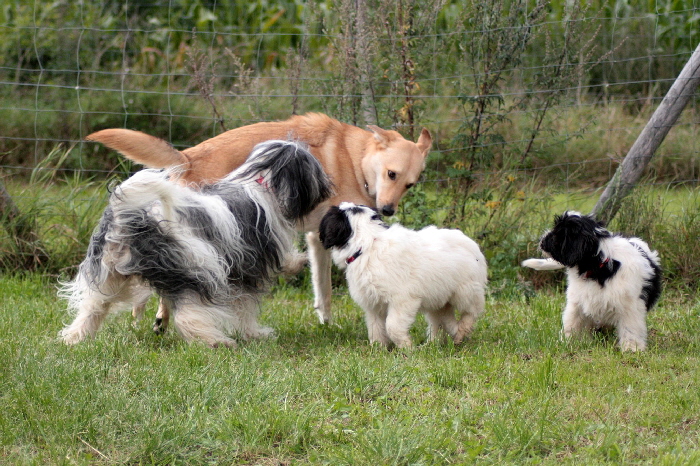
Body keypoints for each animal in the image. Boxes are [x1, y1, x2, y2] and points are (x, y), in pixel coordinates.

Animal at [60, 140, 334, 348]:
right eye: (314, 167)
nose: (329, 183)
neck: (260, 183)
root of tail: (131, 215)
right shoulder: (248, 269)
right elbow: (246, 308)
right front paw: (255, 334)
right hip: (196, 269)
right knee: (188, 316)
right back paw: (215, 342)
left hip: (107, 271)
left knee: (93, 307)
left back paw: (74, 338)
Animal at [85, 112, 430, 324]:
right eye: (391, 173)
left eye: (410, 184)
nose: (388, 210)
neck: (355, 159)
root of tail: (188, 157)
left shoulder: (316, 238)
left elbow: (323, 290)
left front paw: (325, 321)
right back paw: (162, 318)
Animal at [318, 202, 486, 348]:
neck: (368, 245)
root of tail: (471, 244)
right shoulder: (373, 304)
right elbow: (375, 327)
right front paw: (379, 348)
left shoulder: (403, 300)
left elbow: (392, 326)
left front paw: (406, 347)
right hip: (438, 297)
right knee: (441, 318)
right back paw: (436, 342)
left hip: (465, 290)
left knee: (472, 310)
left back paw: (461, 330)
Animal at [524, 210, 660, 350]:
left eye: (559, 233)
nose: (542, 240)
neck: (599, 267)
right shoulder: (577, 301)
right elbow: (572, 322)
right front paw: (567, 342)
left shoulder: (630, 305)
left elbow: (630, 328)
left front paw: (631, 348)